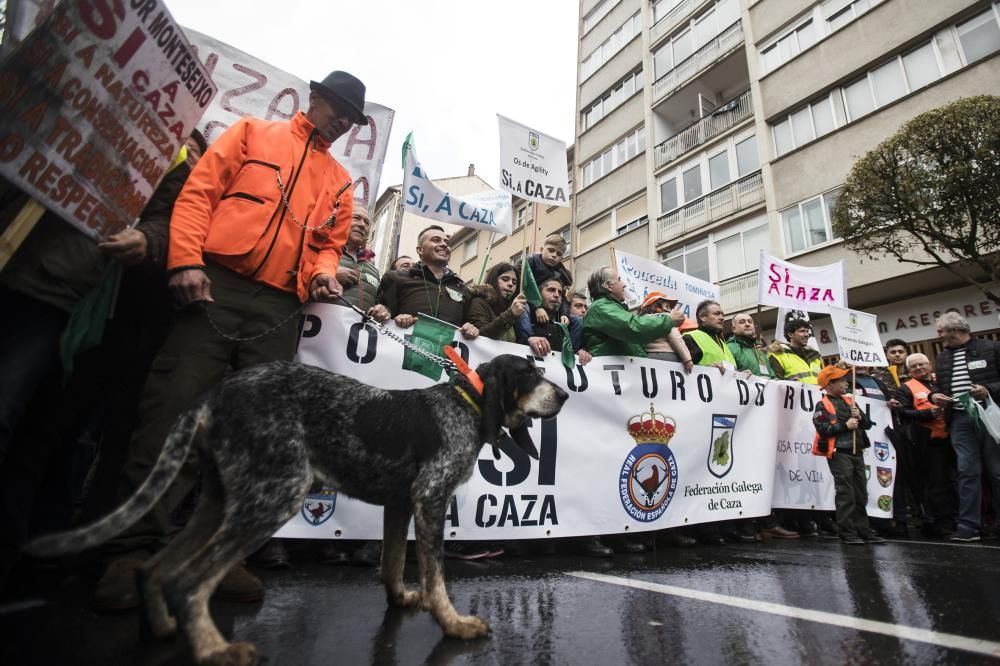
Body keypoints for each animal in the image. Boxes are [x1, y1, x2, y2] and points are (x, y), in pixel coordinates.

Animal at [27, 352, 568, 660]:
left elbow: (393, 563)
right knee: (187, 579)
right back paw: (215, 650)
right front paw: (453, 624)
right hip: (276, 494)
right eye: (530, 373)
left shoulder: (399, 503)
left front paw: (400, 601)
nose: (564, 393)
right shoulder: (430, 499)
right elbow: (435, 575)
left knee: (155, 568)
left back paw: (162, 627)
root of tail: (213, 395)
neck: (466, 404)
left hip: (222, 500)